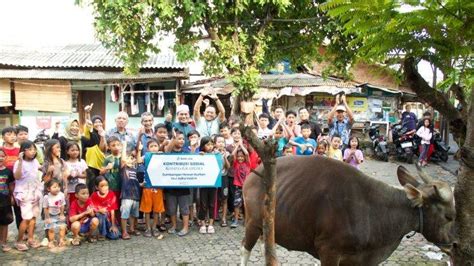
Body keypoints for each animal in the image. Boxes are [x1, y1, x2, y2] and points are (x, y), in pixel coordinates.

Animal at [243, 155, 454, 264]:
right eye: (449, 216)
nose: (452, 244)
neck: (375, 210)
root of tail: (255, 173)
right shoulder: (329, 251)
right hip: (252, 223)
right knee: (246, 248)